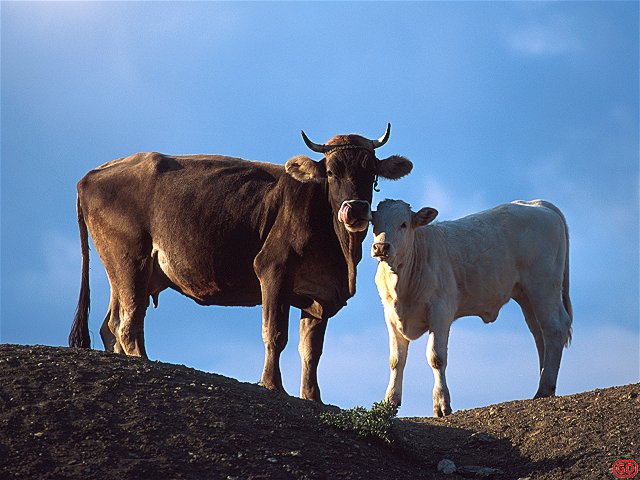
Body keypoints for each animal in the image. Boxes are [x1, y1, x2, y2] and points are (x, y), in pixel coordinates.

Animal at [69, 124, 410, 402]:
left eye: (371, 173)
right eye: (330, 172)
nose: (355, 210)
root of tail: (90, 175)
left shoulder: (319, 293)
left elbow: (311, 351)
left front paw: (313, 397)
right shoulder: (273, 270)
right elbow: (275, 333)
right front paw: (272, 384)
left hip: (124, 271)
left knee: (111, 324)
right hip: (131, 262)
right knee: (128, 323)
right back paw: (143, 360)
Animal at [372, 199, 572, 416]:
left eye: (404, 224)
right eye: (374, 222)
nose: (381, 247)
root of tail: (536, 203)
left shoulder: (441, 311)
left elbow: (436, 357)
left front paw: (441, 403)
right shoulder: (390, 315)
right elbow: (396, 360)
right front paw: (390, 401)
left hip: (543, 285)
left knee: (554, 329)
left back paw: (544, 387)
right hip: (526, 295)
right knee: (540, 334)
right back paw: (545, 385)